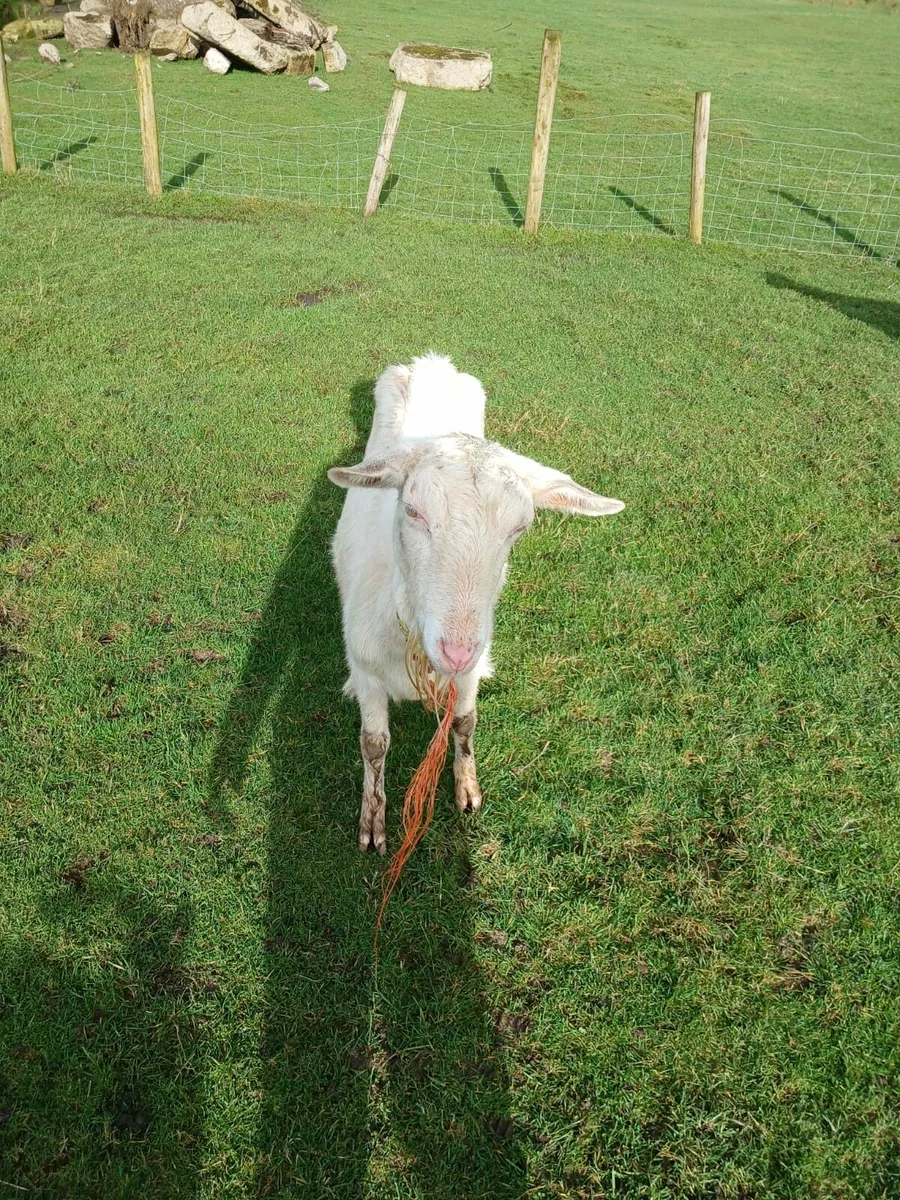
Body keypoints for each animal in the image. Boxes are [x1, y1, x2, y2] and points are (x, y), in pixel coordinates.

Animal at [329, 354, 624, 853]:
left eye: (521, 527)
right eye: (412, 510)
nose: (457, 651)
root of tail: (432, 361)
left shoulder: (468, 675)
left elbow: (465, 723)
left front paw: (467, 790)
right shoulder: (366, 668)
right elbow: (374, 744)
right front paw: (372, 824)